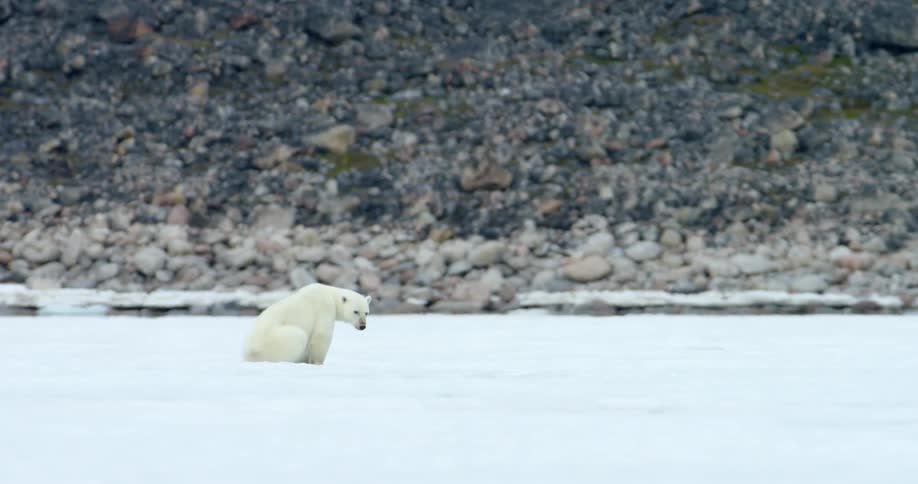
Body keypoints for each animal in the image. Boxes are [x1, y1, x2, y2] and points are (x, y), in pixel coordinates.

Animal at [242, 283, 372, 365]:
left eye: (366, 313)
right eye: (356, 311)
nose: (362, 326)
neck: (330, 294)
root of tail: (250, 353)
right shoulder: (324, 308)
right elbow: (321, 335)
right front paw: (317, 363)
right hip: (273, 342)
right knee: (298, 336)